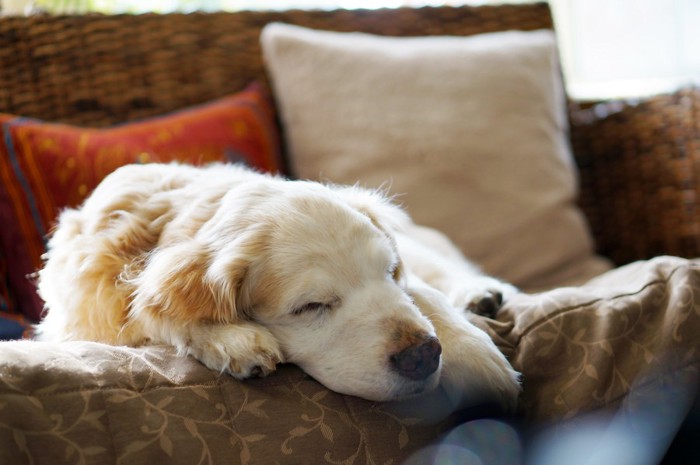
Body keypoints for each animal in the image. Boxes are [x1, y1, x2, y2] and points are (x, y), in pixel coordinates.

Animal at [37, 164, 520, 410]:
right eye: (311, 306)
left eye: (387, 272)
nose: (422, 356)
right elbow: (150, 312)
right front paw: (230, 338)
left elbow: (421, 294)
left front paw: (475, 355)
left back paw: (481, 293)